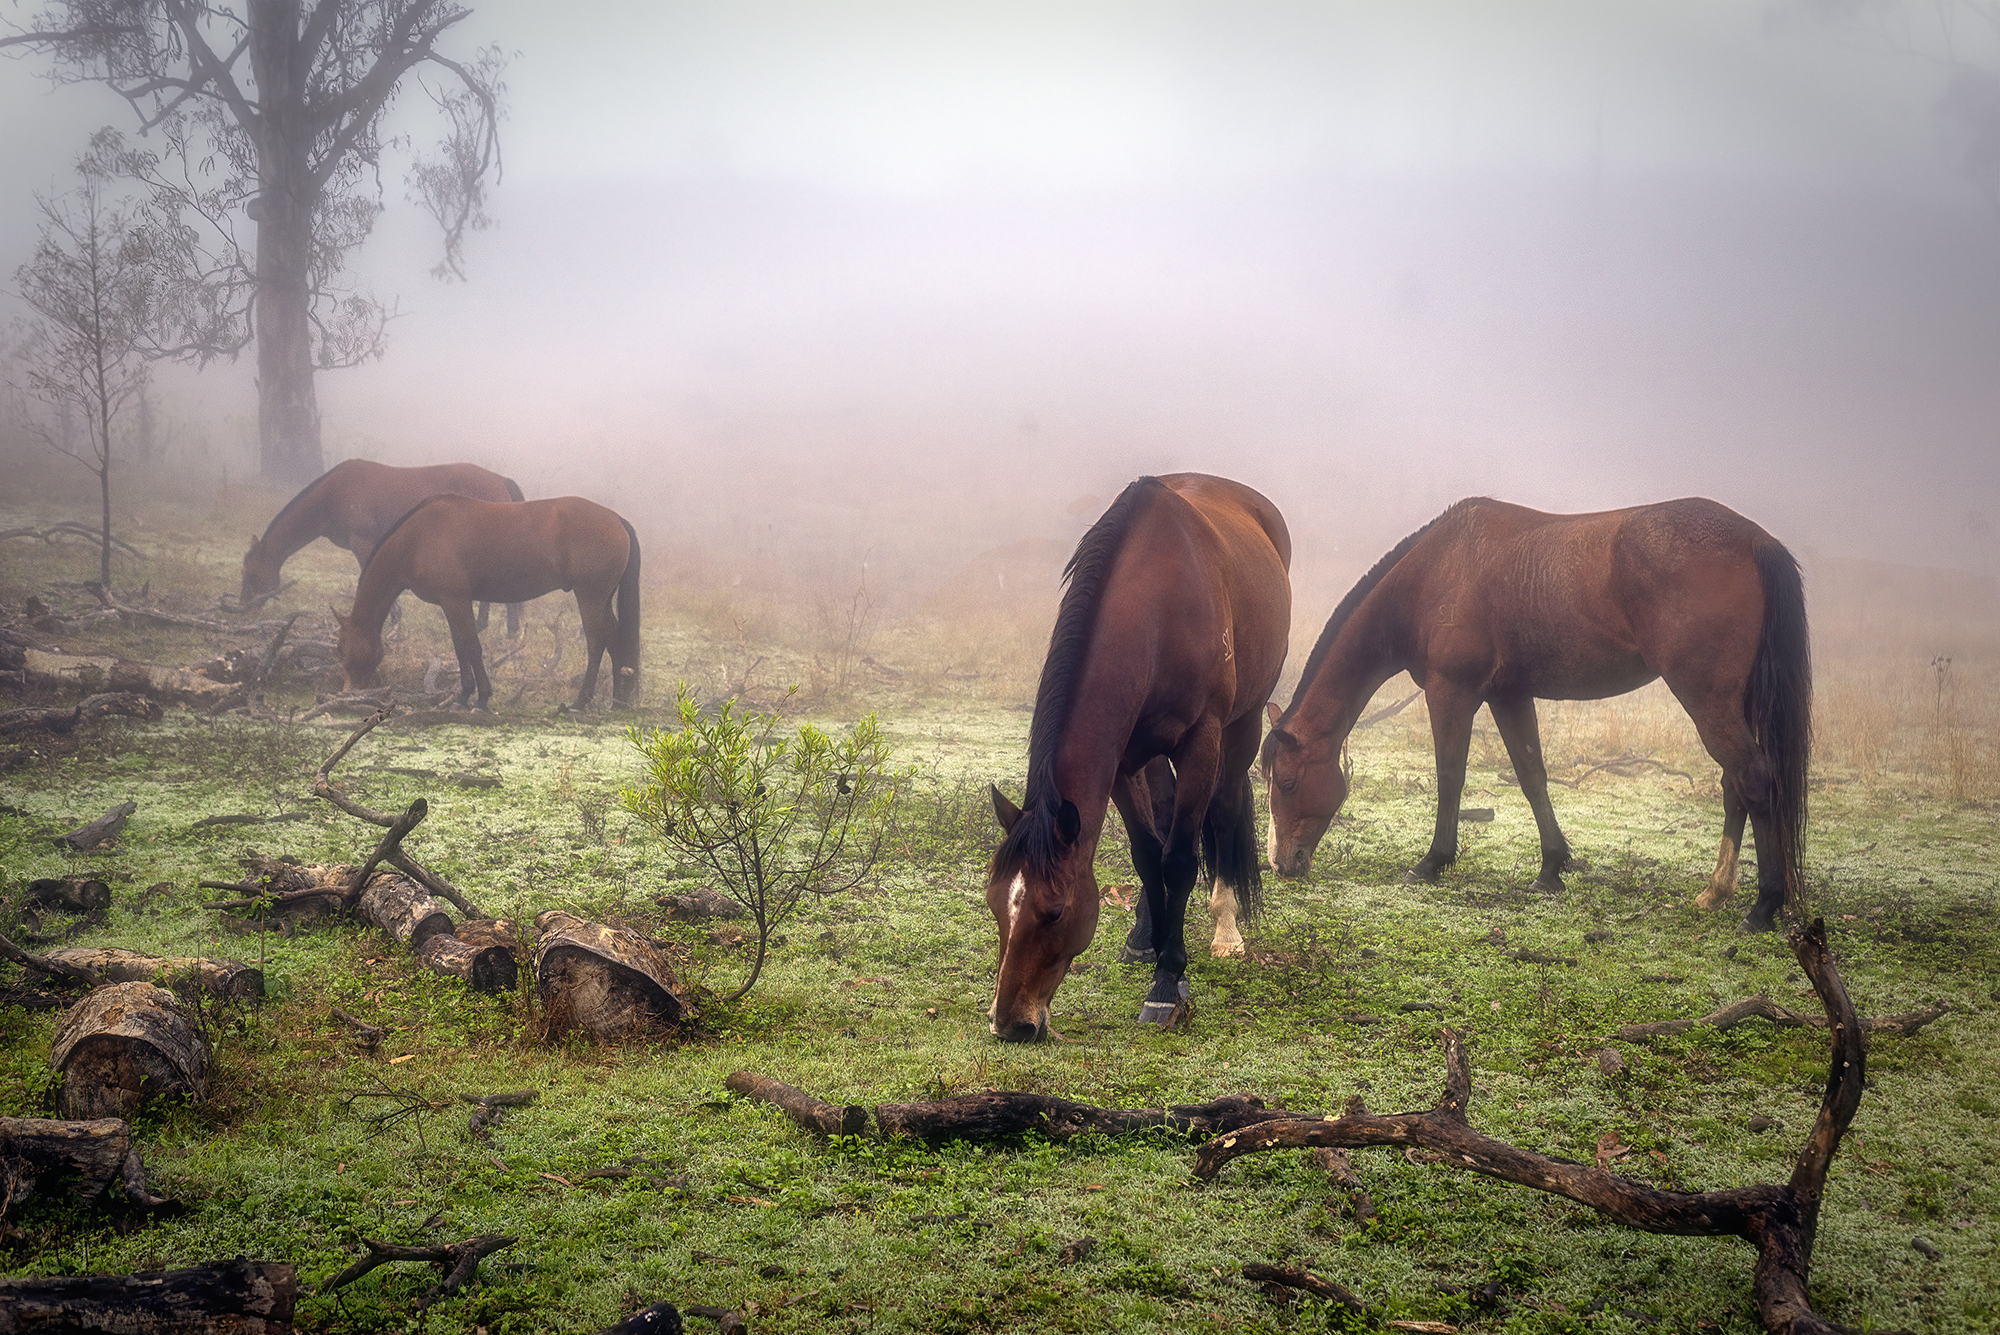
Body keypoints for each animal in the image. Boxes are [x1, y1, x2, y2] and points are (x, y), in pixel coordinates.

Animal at [335, 495, 642, 712]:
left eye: (343, 651)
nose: (347, 694)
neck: (418, 538)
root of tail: (617, 519)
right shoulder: (451, 604)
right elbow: (460, 648)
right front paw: (463, 696)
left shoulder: (456, 601)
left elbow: (471, 647)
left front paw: (481, 698)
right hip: (602, 599)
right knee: (614, 641)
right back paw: (618, 700)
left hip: (590, 597)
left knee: (596, 644)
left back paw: (580, 702)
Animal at [985, 473, 1292, 1042]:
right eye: (995, 903)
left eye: (1055, 912)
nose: (1009, 1024)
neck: (1155, 610)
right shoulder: (1123, 761)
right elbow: (1149, 854)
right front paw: (1159, 948)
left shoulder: (1202, 740)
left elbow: (1180, 858)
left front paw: (1168, 983)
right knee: (1167, 817)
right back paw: (1148, 933)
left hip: (1244, 722)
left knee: (1223, 810)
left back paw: (1225, 928)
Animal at [1259, 496, 1810, 932]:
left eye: (1287, 783)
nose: (1282, 863)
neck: (1437, 571)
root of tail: (1757, 540)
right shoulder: (1509, 696)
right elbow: (1532, 776)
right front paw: (1551, 869)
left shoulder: (1450, 693)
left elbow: (1450, 776)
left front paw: (1433, 862)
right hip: (1732, 703)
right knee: (1734, 786)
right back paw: (1716, 892)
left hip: (1706, 699)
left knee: (1754, 780)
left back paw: (1763, 907)